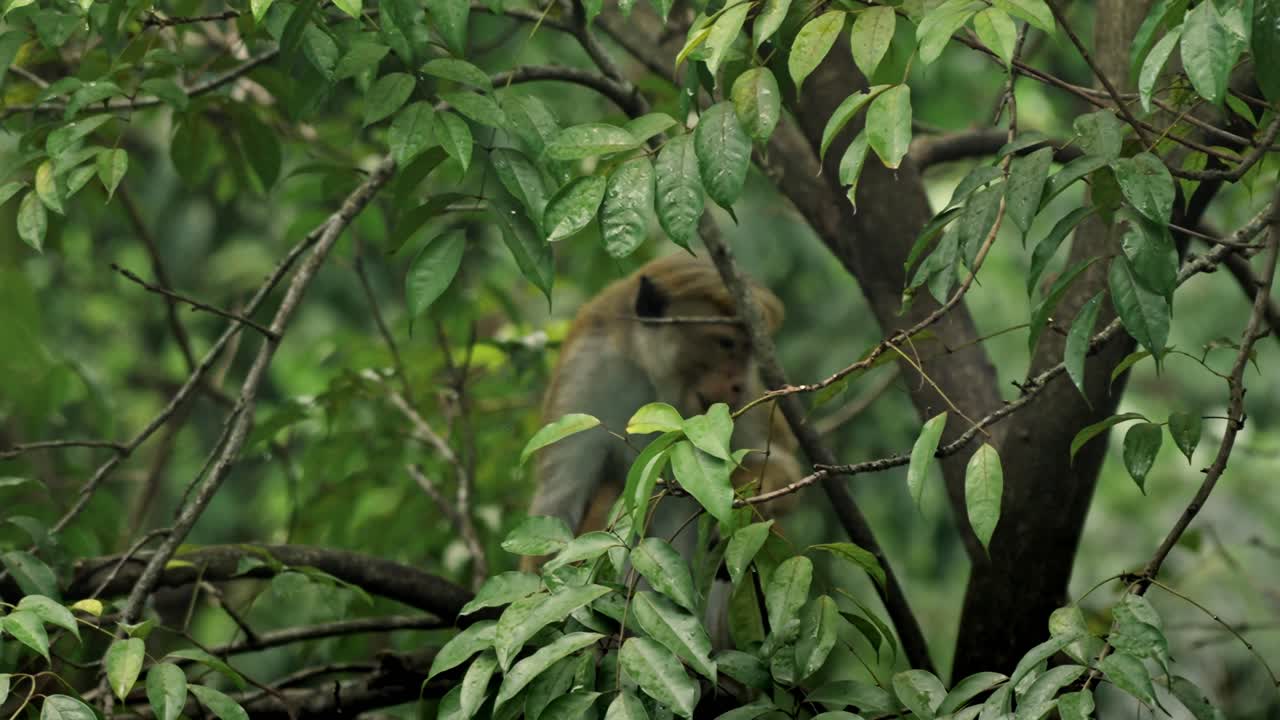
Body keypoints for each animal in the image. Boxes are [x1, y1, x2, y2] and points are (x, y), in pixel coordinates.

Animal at [520, 253, 804, 575]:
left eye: (749, 352)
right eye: (726, 343)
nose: (738, 385)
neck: (651, 378)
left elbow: (781, 464)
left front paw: (748, 491)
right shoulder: (581, 375)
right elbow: (558, 505)